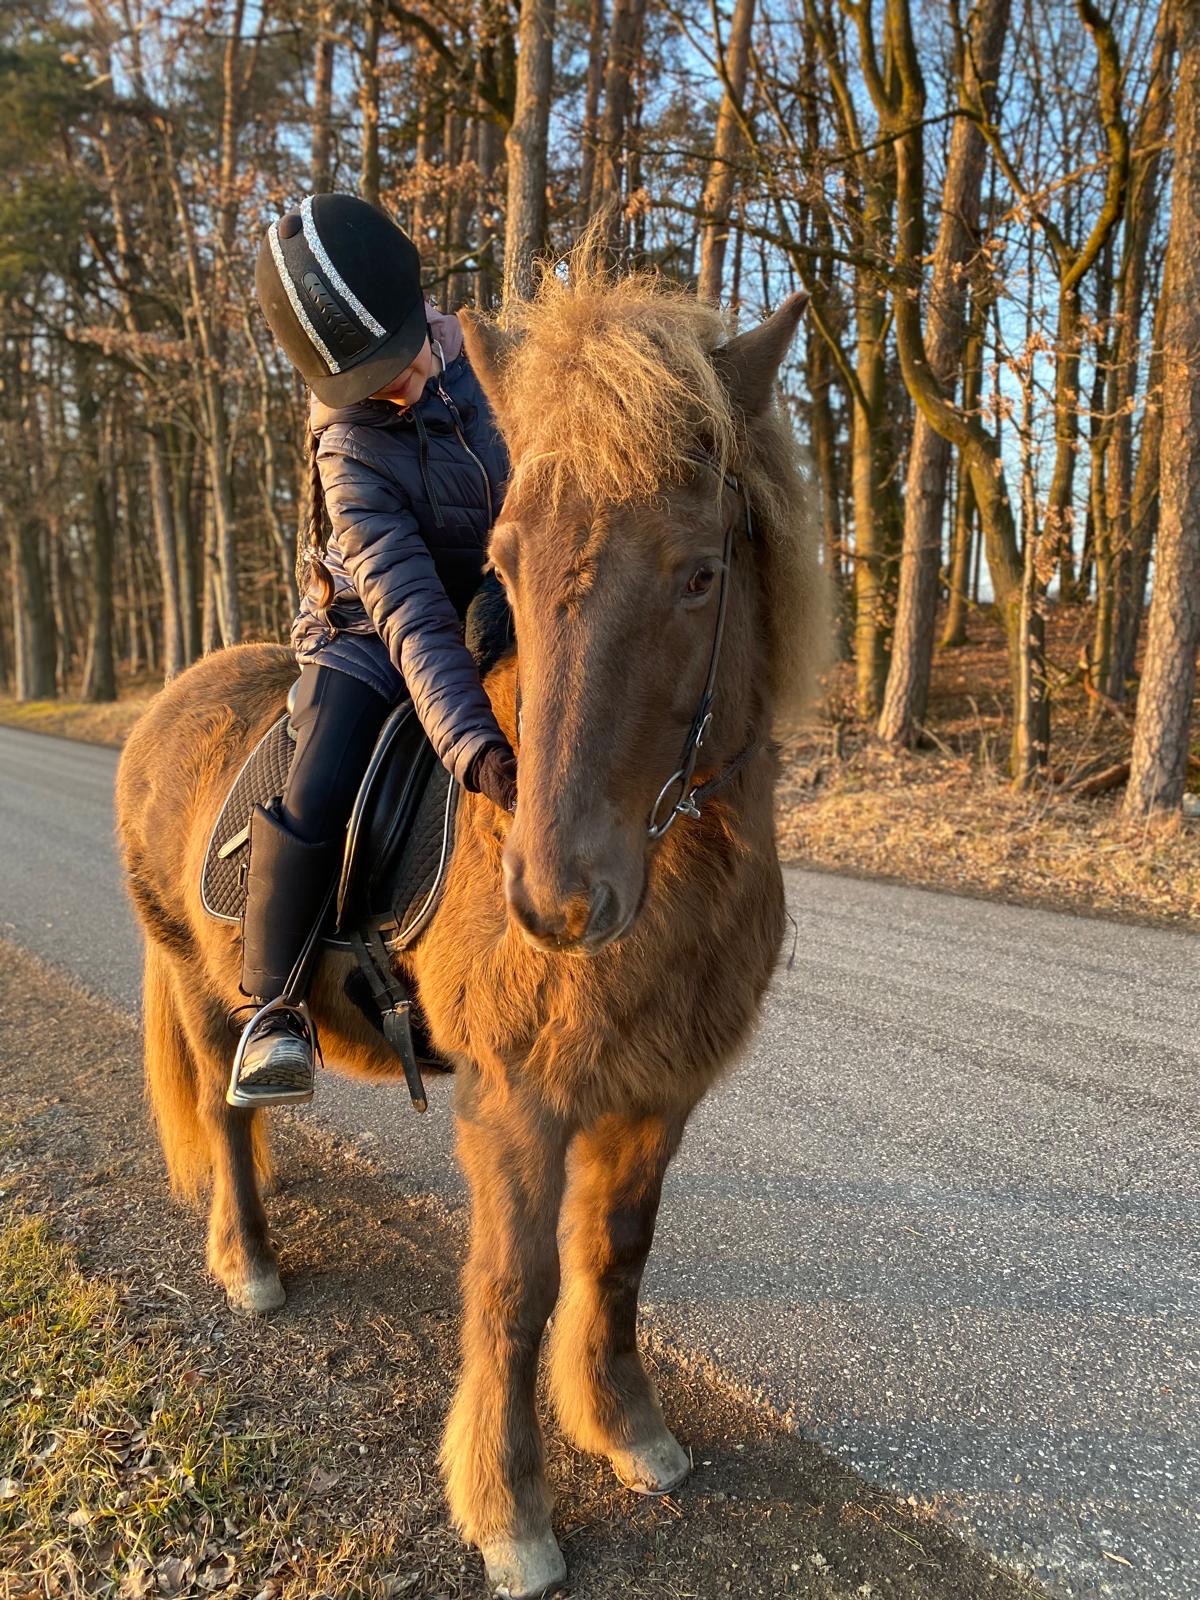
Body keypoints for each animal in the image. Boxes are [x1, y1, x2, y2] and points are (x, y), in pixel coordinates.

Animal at [115, 246, 826, 1599]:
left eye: (700, 570)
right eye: (509, 561)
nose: (557, 901)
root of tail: (166, 703)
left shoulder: (657, 1095)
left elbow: (617, 1256)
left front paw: (628, 1427)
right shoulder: (517, 1101)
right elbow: (517, 1284)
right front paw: (510, 1507)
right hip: (205, 987)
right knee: (229, 1115)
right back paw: (249, 1260)